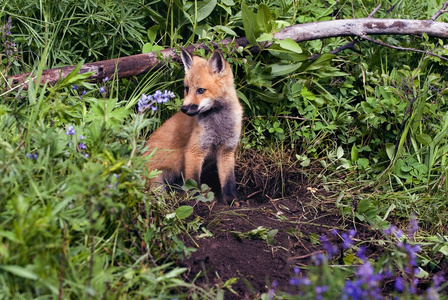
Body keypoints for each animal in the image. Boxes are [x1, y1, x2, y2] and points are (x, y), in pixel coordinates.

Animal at [143, 48, 242, 204]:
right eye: (187, 88)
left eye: (201, 90)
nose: (183, 108)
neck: (218, 124)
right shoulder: (194, 150)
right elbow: (193, 180)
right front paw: (195, 200)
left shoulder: (227, 150)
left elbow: (228, 180)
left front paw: (231, 200)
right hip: (158, 180)